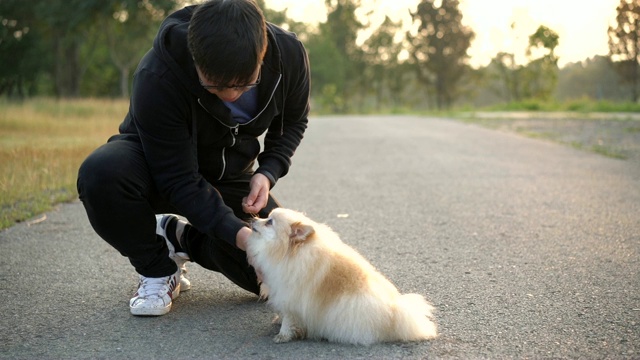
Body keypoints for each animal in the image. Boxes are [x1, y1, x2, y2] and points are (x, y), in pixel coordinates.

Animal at [242, 208, 438, 346]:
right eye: (266, 217)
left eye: (269, 222)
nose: (254, 219)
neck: (287, 252)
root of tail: (393, 312)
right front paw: (280, 321)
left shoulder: (291, 294)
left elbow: (289, 318)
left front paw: (282, 335)